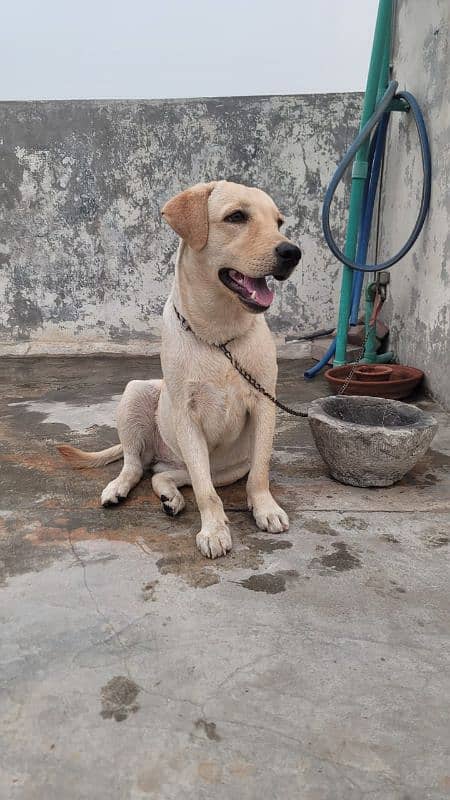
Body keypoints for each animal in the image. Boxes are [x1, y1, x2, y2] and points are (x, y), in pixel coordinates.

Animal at [58, 179, 300, 560]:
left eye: (278, 222)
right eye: (236, 217)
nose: (293, 252)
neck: (219, 336)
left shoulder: (265, 404)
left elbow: (259, 473)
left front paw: (265, 509)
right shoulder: (187, 417)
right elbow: (205, 493)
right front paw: (214, 530)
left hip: (219, 467)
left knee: (164, 474)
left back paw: (169, 496)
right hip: (137, 393)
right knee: (136, 464)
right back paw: (119, 488)